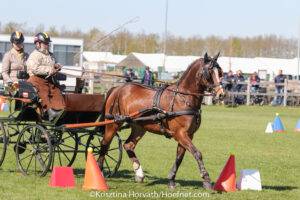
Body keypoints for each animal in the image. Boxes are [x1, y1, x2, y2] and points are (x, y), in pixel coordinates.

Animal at [97, 52, 224, 189]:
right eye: (209, 72)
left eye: (220, 72)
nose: (221, 94)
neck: (182, 98)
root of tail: (116, 89)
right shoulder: (180, 133)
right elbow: (197, 153)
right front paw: (206, 179)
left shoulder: (188, 134)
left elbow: (179, 157)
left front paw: (171, 179)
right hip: (113, 123)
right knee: (104, 144)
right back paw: (99, 171)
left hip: (139, 126)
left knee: (128, 145)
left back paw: (139, 174)